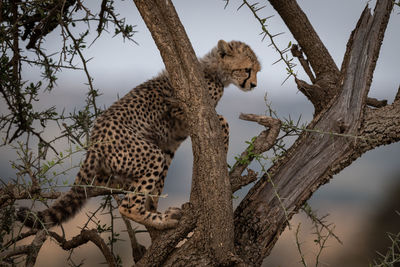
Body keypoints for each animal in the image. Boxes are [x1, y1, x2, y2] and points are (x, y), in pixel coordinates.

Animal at [17, 39, 260, 230]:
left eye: (257, 70)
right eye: (248, 69)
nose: (254, 85)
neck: (216, 71)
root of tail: (94, 141)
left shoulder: (172, 138)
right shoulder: (180, 107)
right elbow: (223, 120)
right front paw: (224, 146)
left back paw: (157, 212)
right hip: (148, 155)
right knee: (128, 205)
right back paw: (161, 219)